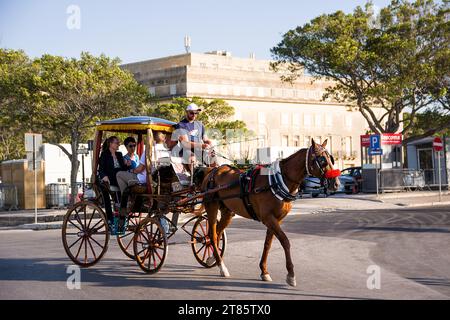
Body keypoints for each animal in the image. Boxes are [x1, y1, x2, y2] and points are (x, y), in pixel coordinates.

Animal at [200, 139, 342, 286]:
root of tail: (212, 170)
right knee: (212, 234)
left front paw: (264, 271)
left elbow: (268, 244)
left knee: (217, 233)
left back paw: (212, 259)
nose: (336, 184)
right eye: (322, 160)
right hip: (212, 206)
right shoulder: (268, 218)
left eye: (331, 158)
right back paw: (222, 266)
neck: (277, 181)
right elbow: (285, 241)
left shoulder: (276, 219)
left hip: (228, 212)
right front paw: (291, 274)